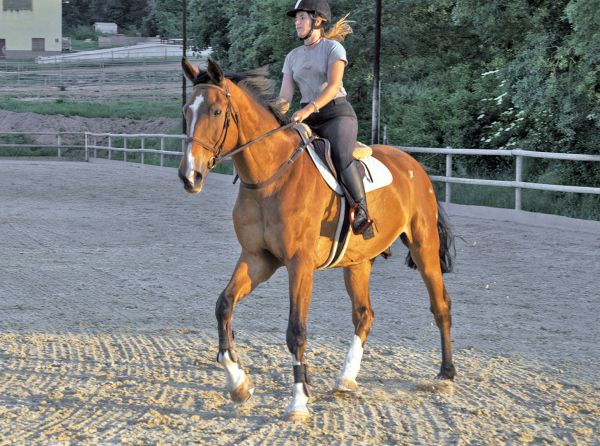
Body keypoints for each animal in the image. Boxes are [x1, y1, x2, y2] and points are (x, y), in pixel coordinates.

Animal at [178, 58, 454, 422]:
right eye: (187, 110)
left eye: (216, 111)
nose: (189, 176)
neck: (270, 176)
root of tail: (415, 166)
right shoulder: (257, 258)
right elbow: (223, 305)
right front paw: (239, 383)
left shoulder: (299, 264)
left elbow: (296, 331)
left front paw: (298, 402)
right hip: (357, 262)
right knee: (364, 315)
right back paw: (346, 379)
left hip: (424, 247)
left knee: (440, 306)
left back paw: (446, 374)